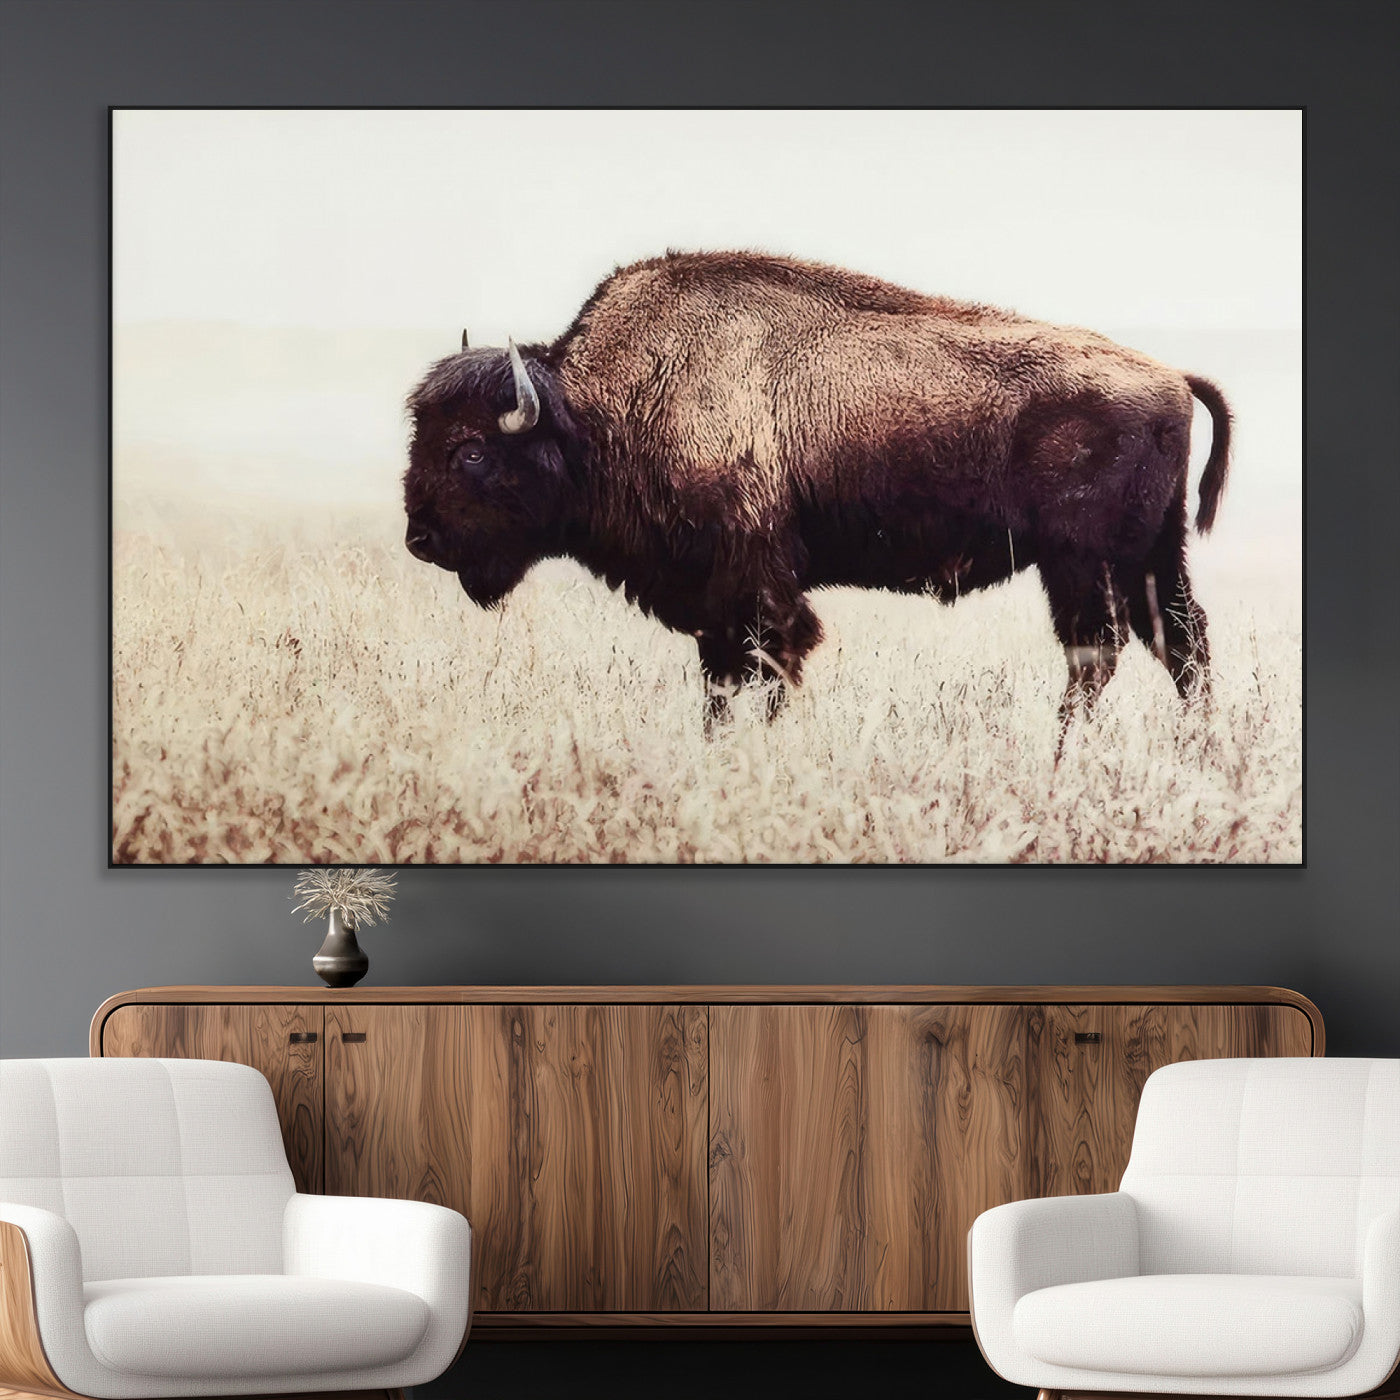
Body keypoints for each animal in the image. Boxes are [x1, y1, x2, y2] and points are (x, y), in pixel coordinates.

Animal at [404, 251, 1229, 732]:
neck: (600, 409)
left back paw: (1063, 752)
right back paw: (1196, 751)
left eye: (471, 449)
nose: (420, 539)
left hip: (1081, 563)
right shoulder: (716, 604)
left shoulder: (757, 587)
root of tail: (1170, 376)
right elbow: (722, 681)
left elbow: (770, 665)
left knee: (1099, 652)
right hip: (1151, 557)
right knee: (1180, 643)